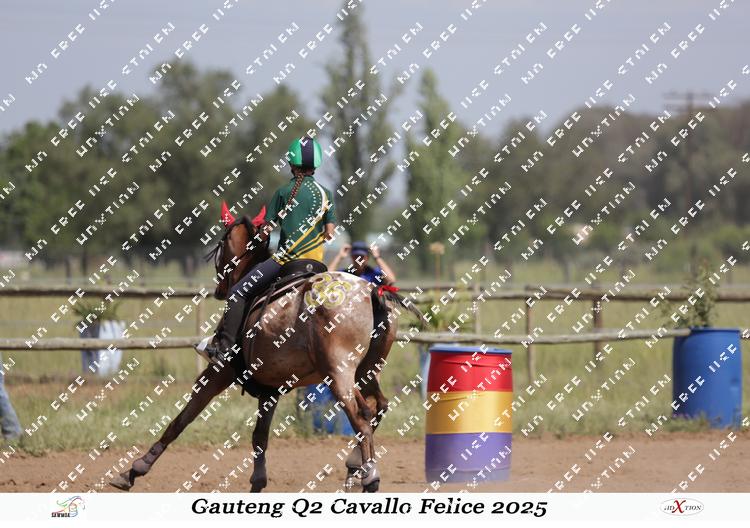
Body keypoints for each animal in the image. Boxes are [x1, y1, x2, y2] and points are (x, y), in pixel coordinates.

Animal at [110, 213, 422, 493]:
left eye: (221, 246)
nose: (220, 288)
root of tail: (370, 291)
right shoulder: (271, 387)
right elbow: (259, 437)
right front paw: (257, 483)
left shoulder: (218, 373)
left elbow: (181, 420)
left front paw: (134, 470)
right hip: (365, 372)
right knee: (377, 407)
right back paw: (355, 468)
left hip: (339, 374)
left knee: (361, 417)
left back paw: (369, 477)